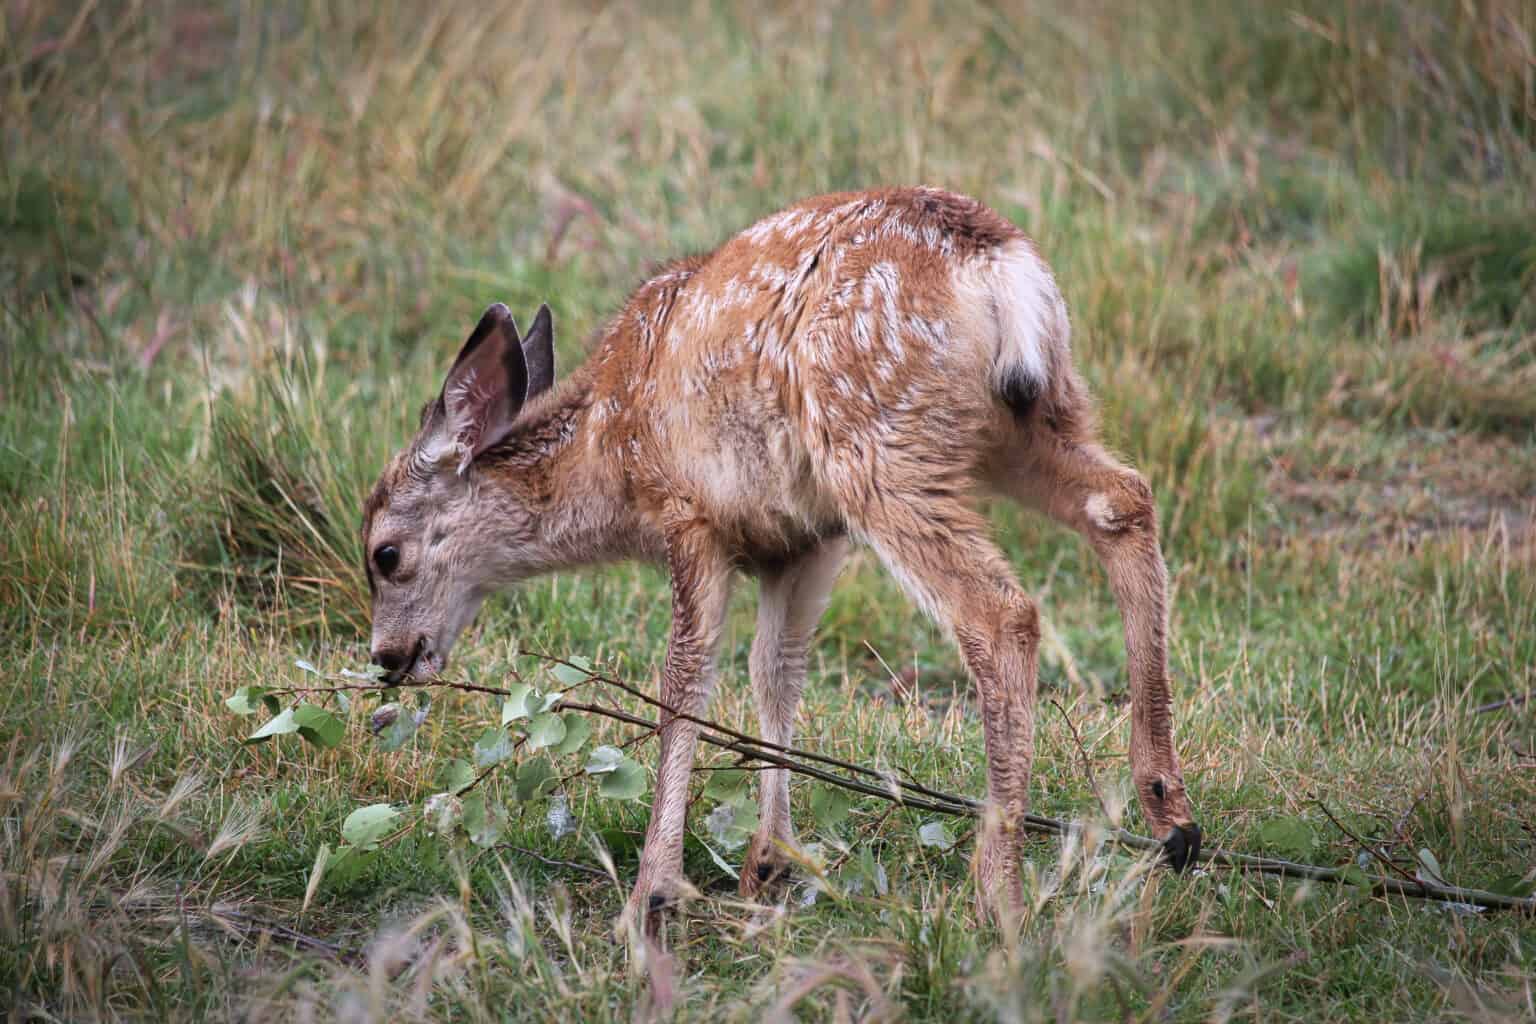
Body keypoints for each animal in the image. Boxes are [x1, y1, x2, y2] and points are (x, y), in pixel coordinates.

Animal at [361, 187, 1201, 929]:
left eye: (386, 554)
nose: (387, 656)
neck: (609, 444)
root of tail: (1003, 268)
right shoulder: (804, 539)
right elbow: (777, 670)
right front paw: (770, 860)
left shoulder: (691, 517)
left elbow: (685, 683)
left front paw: (653, 892)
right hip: (1030, 419)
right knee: (1123, 500)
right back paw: (1170, 814)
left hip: (879, 444)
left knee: (1001, 613)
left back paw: (999, 891)